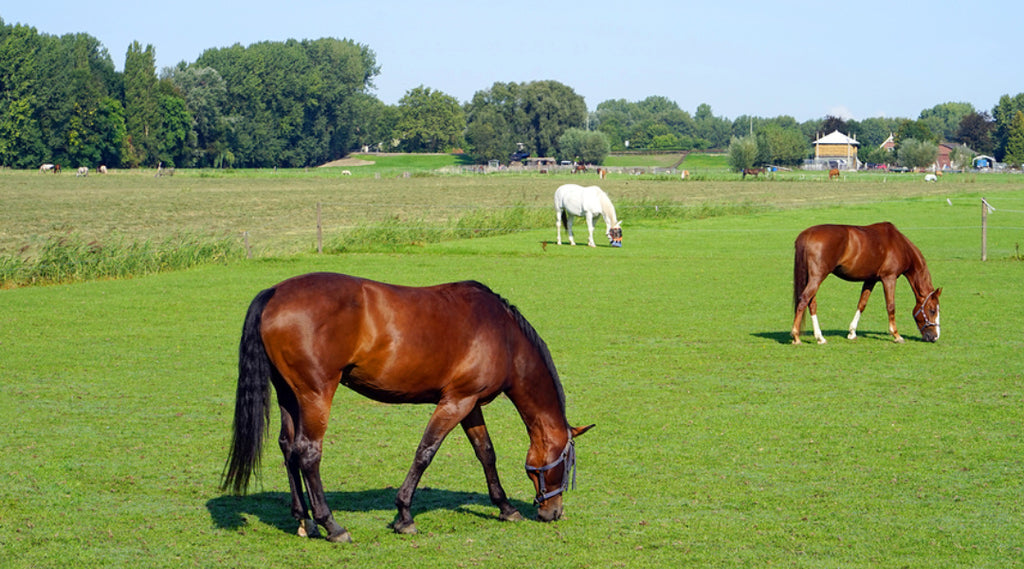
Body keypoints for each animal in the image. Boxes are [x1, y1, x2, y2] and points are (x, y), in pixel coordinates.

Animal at [223, 274, 593, 544]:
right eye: (566, 466)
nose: (554, 513)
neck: (504, 335)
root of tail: (274, 292)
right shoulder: (455, 402)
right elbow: (425, 453)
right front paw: (404, 515)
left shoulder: (470, 404)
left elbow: (486, 453)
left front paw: (505, 507)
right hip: (315, 395)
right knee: (308, 453)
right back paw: (331, 526)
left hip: (289, 395)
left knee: (288, 449)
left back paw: (305, 521)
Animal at [790, 223, 942, 345]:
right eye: (932, 310)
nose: (935, 337)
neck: (899, 245)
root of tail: (807, 234)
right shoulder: (889, 278)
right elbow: (891, 306)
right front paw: (896, 335)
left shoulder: (870, 280)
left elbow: (862, 304)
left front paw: (852, 333)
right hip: (817, 278)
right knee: (804, 300)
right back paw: (796, 337)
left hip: (812, 278)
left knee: (811, 303)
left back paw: (819, 338)